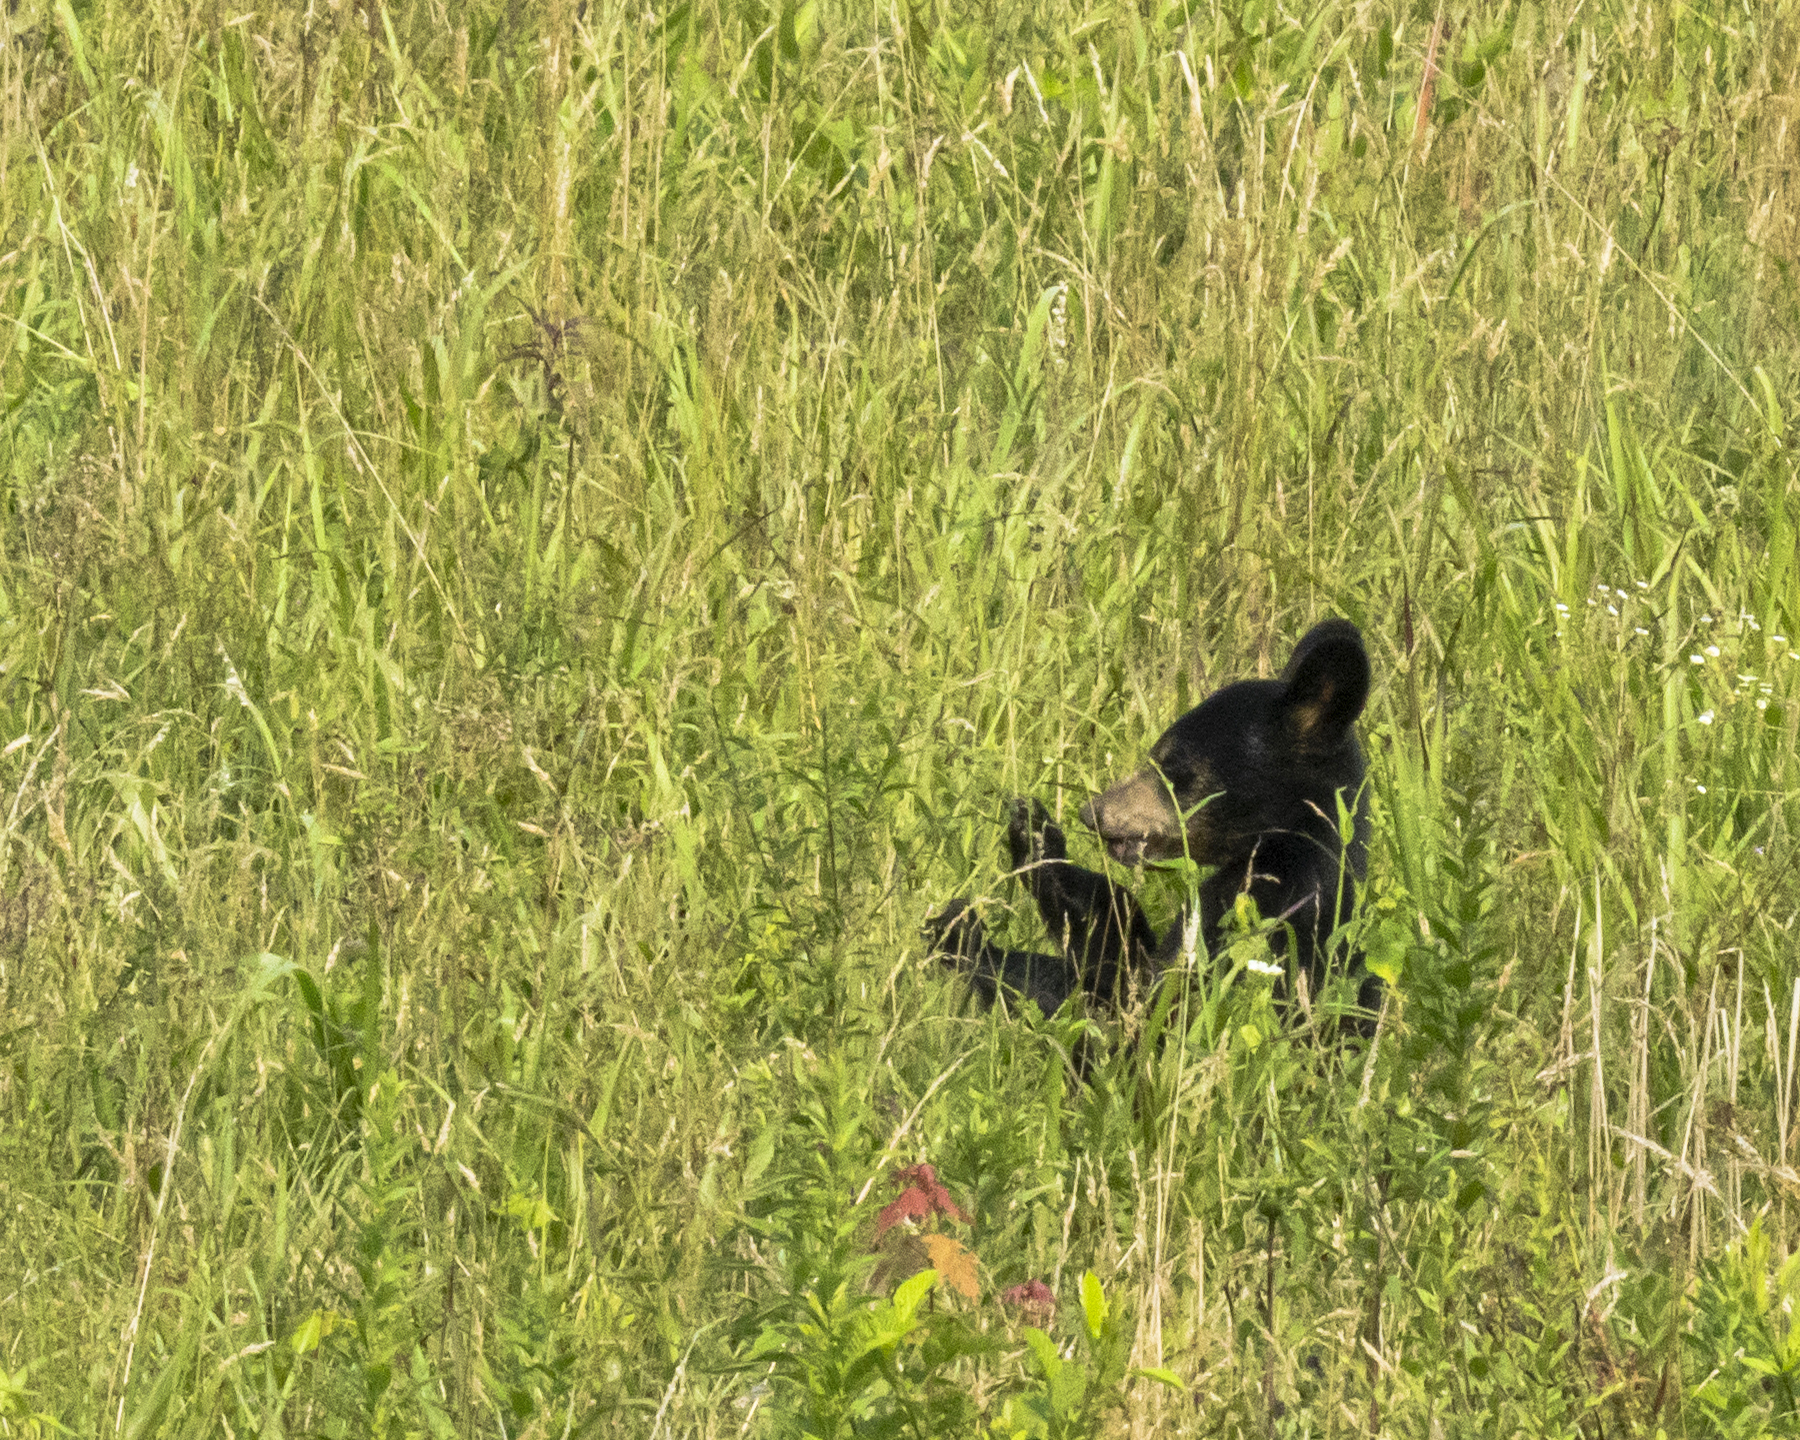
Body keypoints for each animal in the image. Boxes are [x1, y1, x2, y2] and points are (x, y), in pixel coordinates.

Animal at [929, 618, 1377, 1026]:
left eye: (1171, 767)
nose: (1092, 812)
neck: (1290, 844)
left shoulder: (1261, 913)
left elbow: (1141, 1001)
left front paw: (965, 939)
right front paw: (1036, 836)